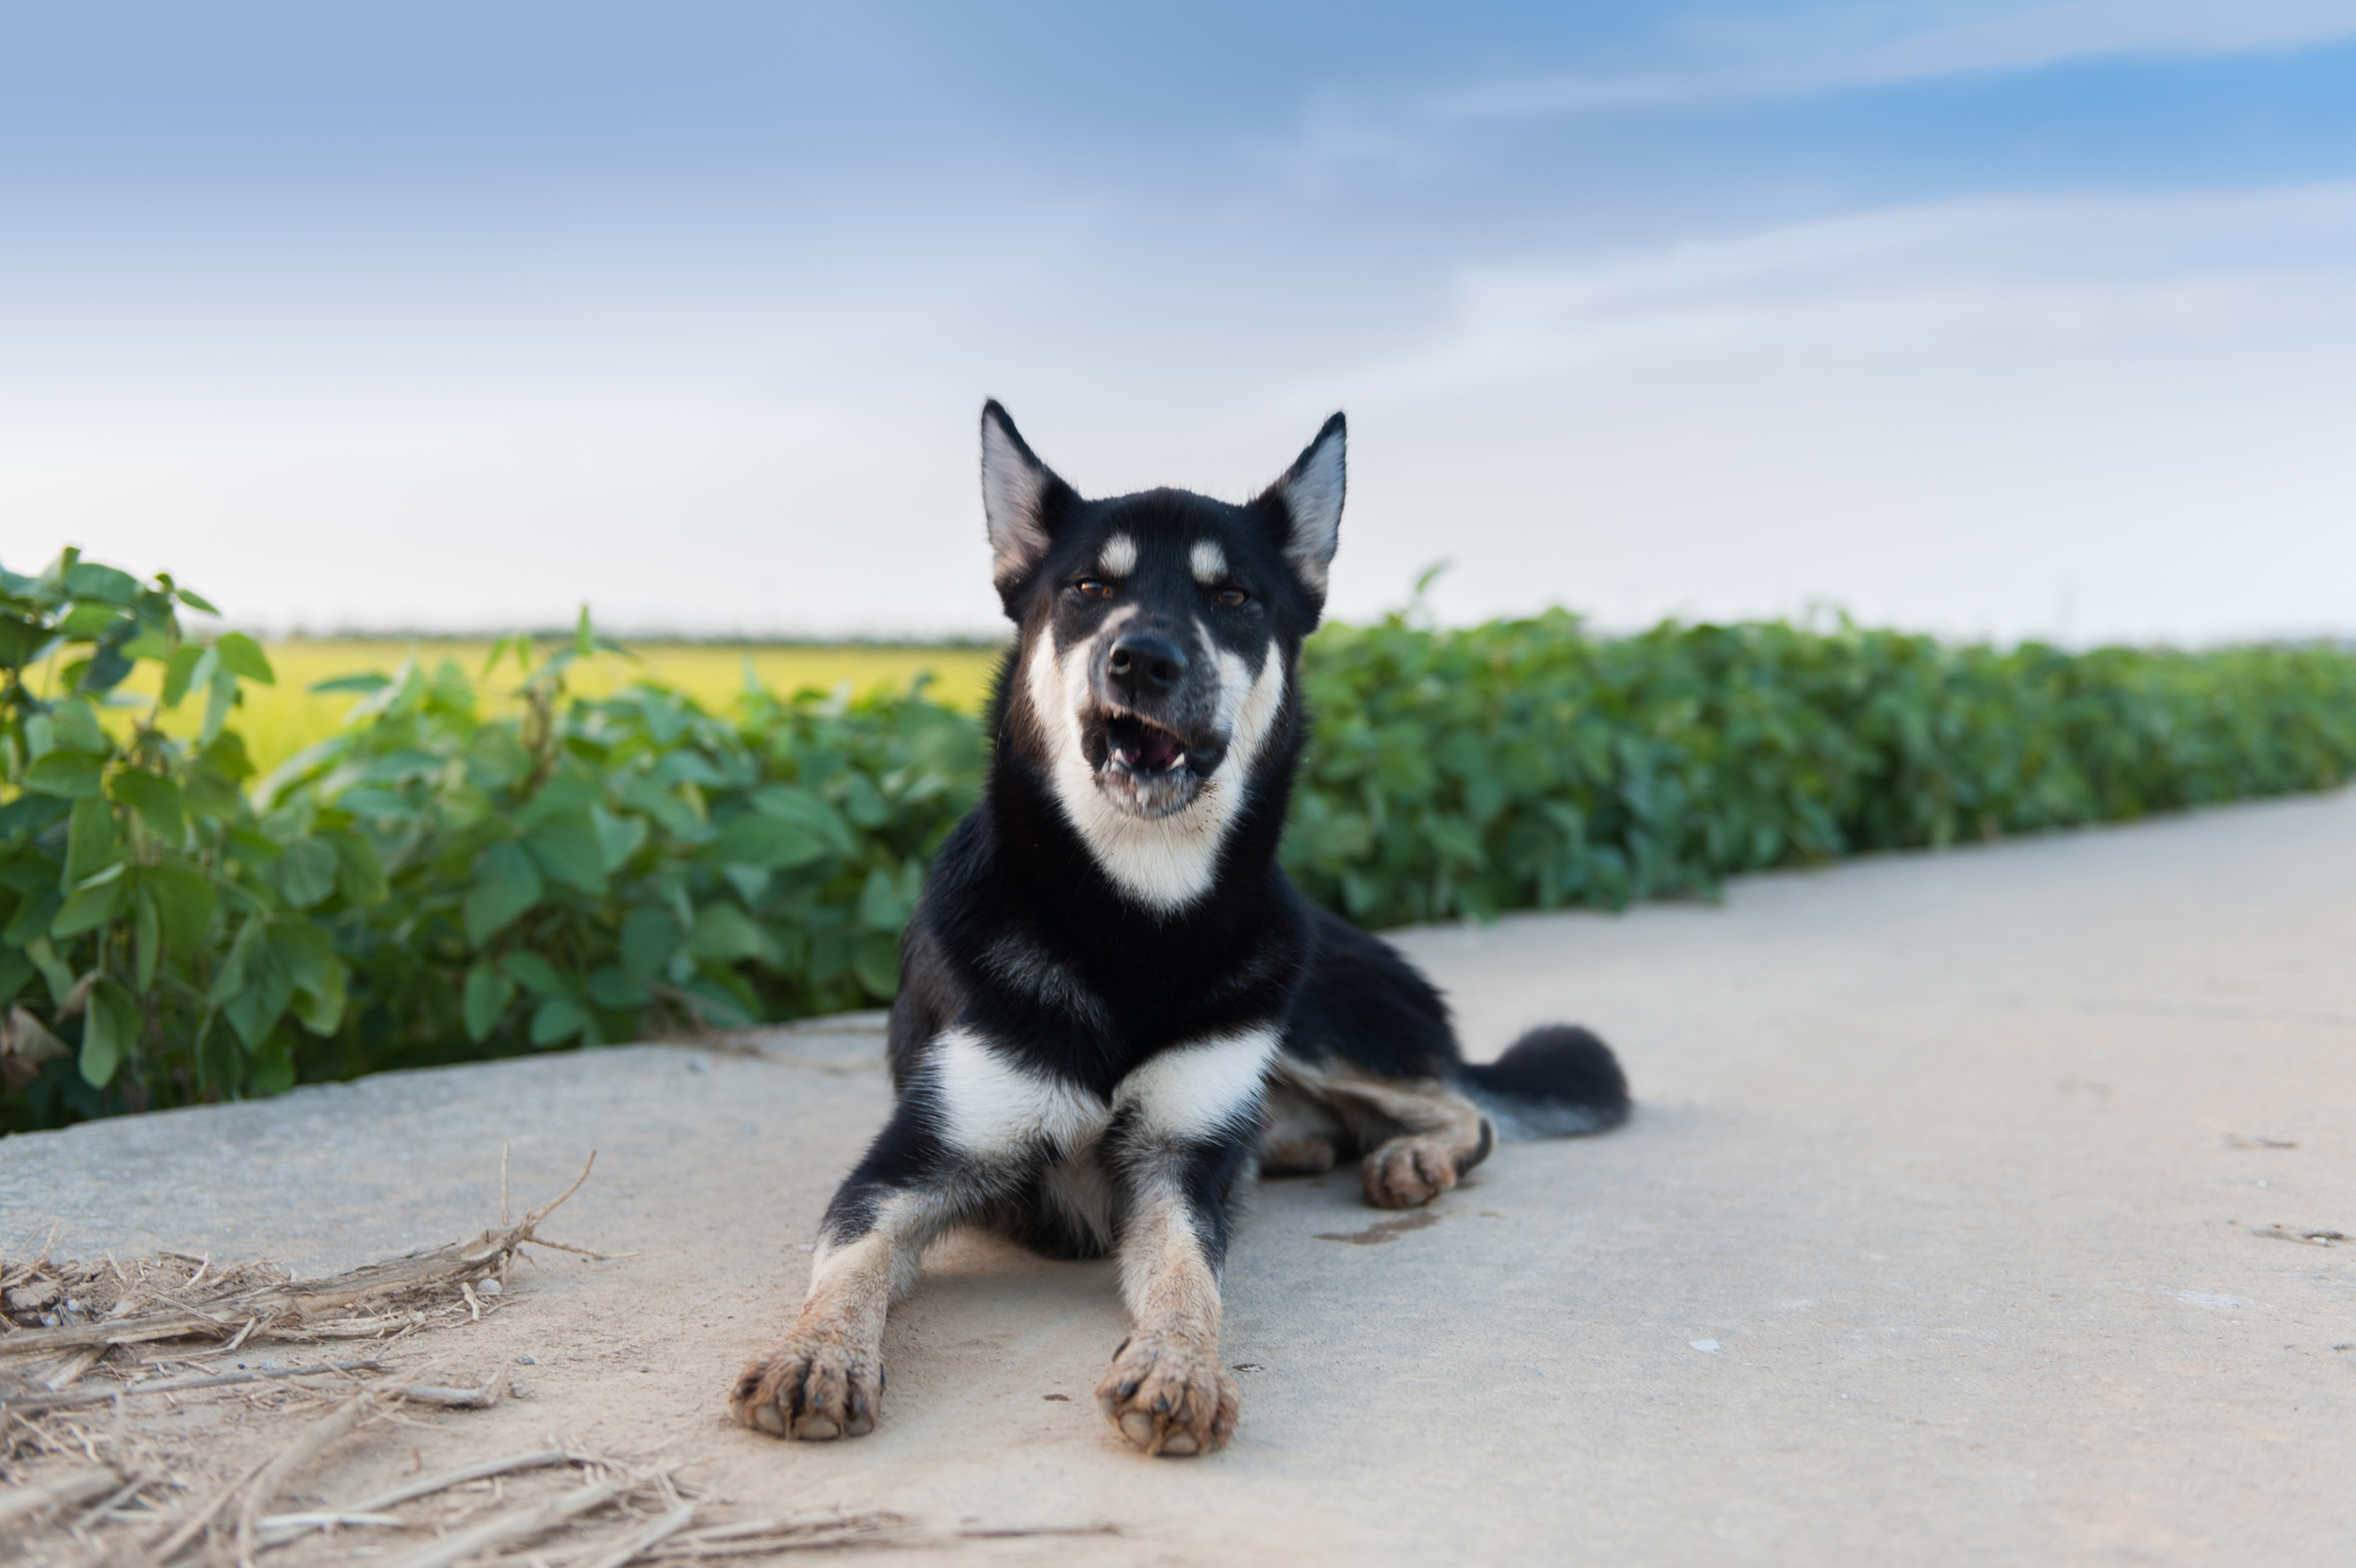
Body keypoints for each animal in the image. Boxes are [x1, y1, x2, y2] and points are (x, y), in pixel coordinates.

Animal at [726, 402, 1630, 1450]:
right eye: (1088, 588)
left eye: (1232, 595)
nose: (1143, 660)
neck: (1134, 916)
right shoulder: (915, 1160)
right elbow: (851, 1260)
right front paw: (817, 1353)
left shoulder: (1175, 1167)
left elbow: (1189, 1275)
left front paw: (1179, 1365)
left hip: (1310, 1010)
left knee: (1462, 1104)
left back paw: (1403, 1152)